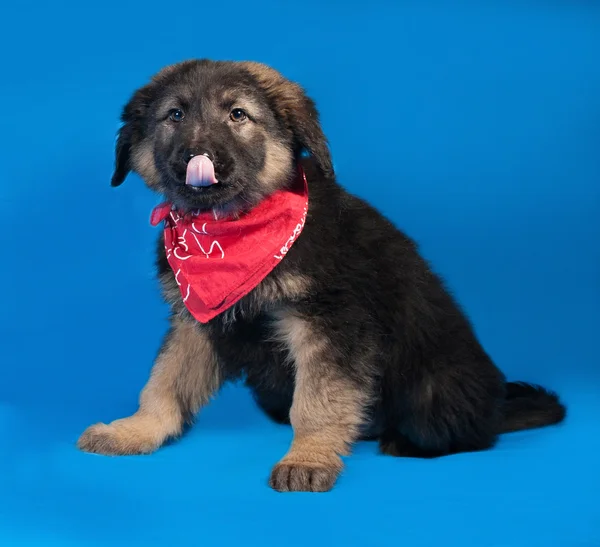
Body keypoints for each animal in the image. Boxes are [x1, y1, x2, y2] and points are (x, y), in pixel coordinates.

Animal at [79, 58, 568, 492]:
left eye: (238, 114)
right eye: (175, 115)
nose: (196, 157)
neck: (229, 230)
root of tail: (495, 407)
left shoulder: (330, 322)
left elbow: (316, 399)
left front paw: (308, 457)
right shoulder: (197, 320)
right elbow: (165, 380)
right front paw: (134, 430)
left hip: (436, 387)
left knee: (466, 433)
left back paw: (405, 440)